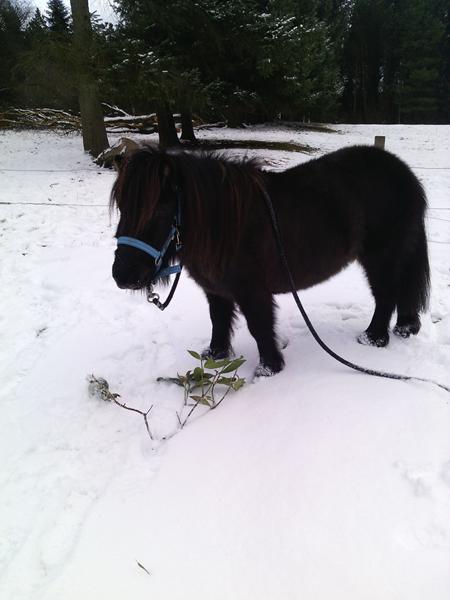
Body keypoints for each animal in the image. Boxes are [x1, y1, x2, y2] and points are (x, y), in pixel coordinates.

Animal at [110, 146, 430, 376]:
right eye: (123, 208)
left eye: (159, 211)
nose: (122, 275)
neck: (225, 224)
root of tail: (404, 174)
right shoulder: (216, 289)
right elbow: (219, 320)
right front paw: (214, 358)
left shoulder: (252, 291)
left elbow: (259, 327)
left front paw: (269, 368)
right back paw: (403, 328)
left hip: (381, 257)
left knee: (386, 295)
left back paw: (373, 338)